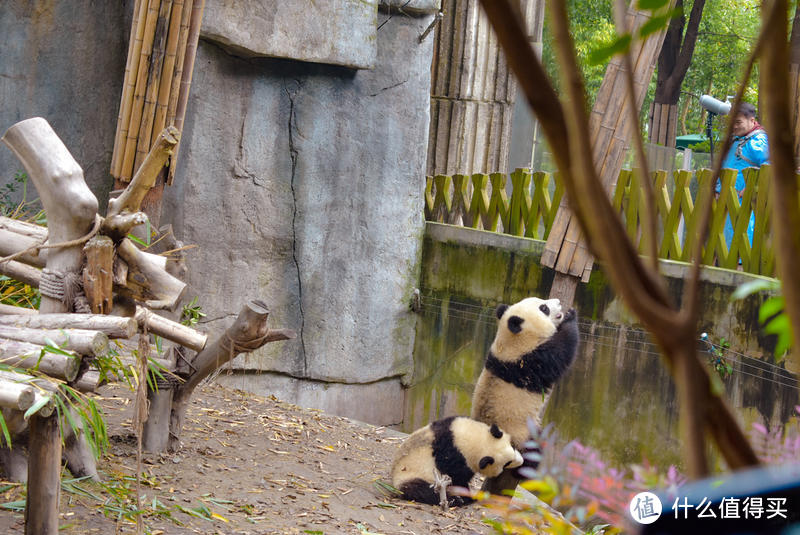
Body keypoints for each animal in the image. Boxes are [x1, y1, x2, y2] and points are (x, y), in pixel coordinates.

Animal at [392, 418, 524, 506]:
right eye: (507, 463)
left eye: (512, 446)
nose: (521, 461)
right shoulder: (454, 460)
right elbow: (458, 478)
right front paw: (466, 495)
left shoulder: (449, 425)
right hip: (412, 475)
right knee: (422, 490)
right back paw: (457, 499)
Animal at [468, 298, 576, 490]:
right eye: (544, 308)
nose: (558, 302)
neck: (510, 342)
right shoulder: (530, 362)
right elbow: (562, 352)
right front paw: (571, 318)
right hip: (521, 434)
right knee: (533, 449)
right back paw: (526, 472)